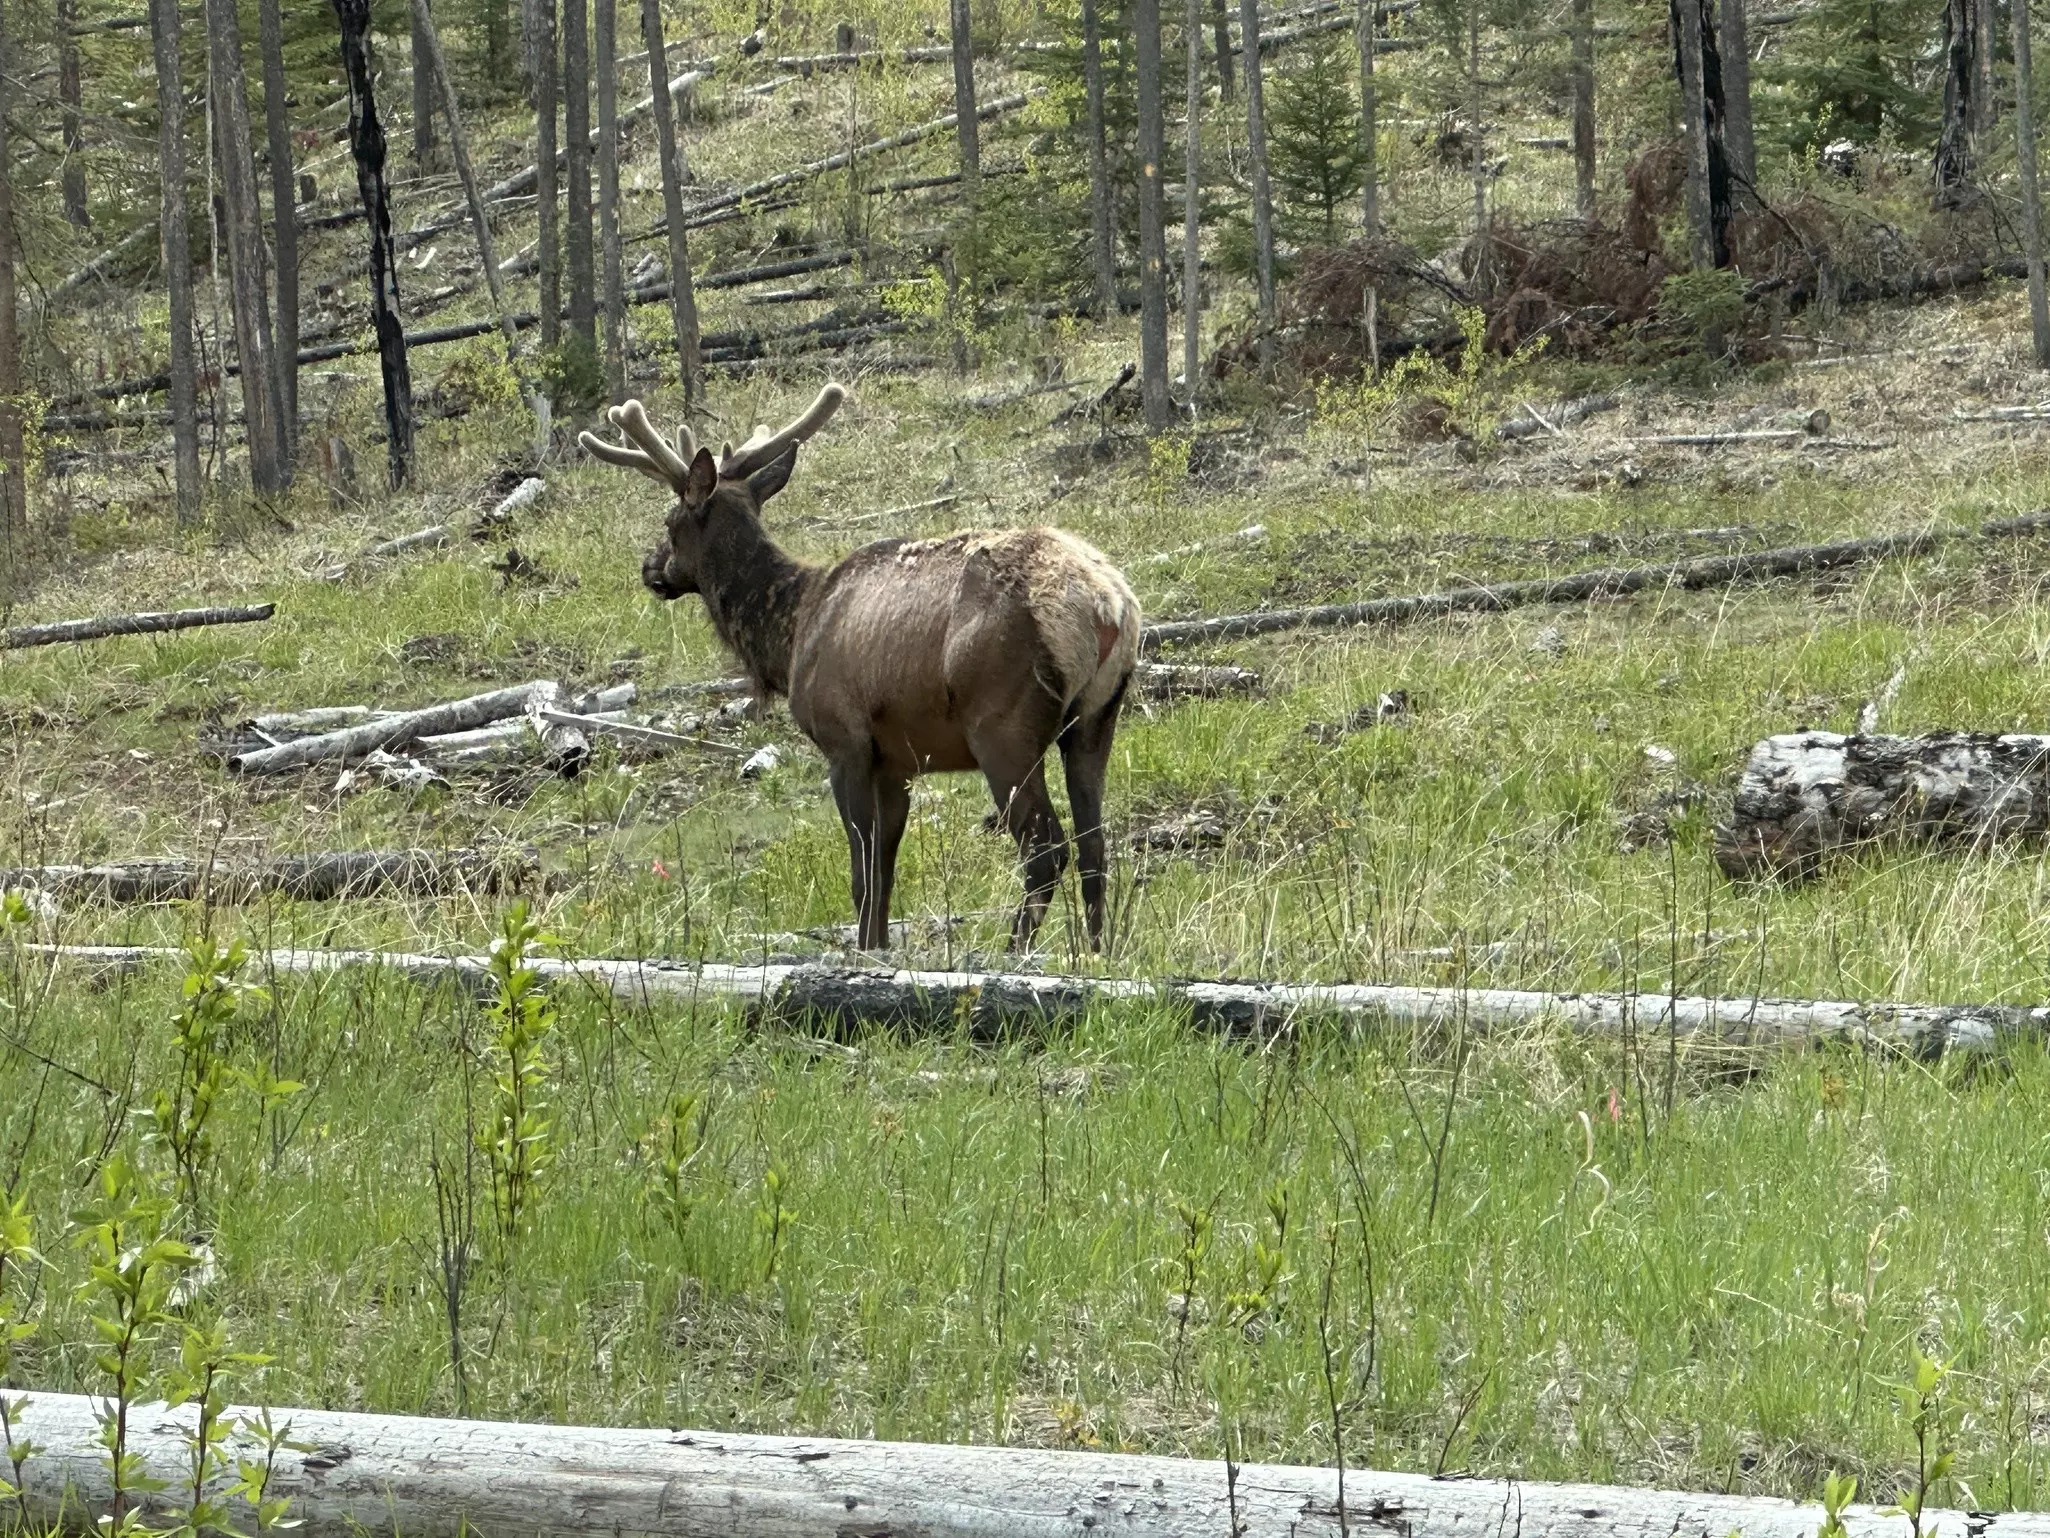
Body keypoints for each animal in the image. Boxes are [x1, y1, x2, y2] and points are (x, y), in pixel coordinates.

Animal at [580, 383, 1141, 954]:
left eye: (669, 523)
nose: (649, 568)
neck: (790, 636)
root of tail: (1107, 606)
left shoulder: (845, 741)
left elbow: (861, 871)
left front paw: (865, 951)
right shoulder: (896, 760)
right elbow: (885, 871)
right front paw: (879, 946)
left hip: (1002, 724)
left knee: (1046, 846)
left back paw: (1016, 951)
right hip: (1097, 718)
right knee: (1095, 844)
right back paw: (1097, 951)